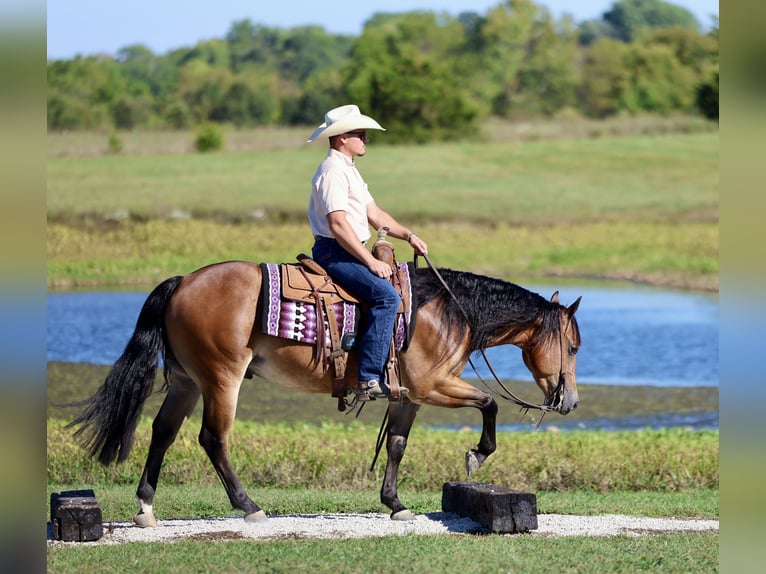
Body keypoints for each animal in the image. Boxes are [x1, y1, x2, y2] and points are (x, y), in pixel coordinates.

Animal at [68, 259, 582, 526]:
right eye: (573, 347)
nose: (571, 401)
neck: (450, 311)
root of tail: (182, 282)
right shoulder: (431, 385)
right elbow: (490, 403)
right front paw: (477, 455)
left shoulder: (408, 396)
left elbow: (396, 445)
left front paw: (395, 504)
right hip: (220, 379)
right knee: (212, 439)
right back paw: (248, 507)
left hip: (186, 381)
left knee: (163, 432)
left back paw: (145, 506)